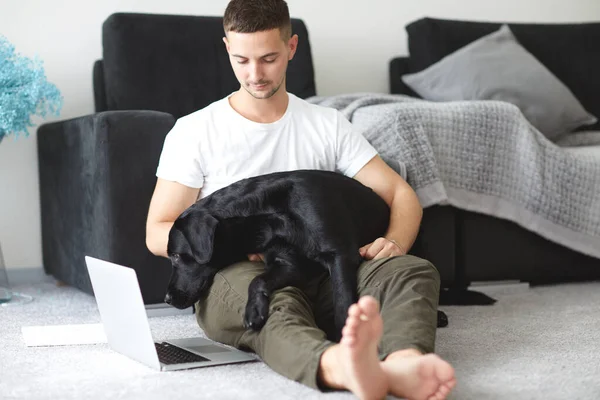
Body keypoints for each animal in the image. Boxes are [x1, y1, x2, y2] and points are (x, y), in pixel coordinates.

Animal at [164, 169, 390, 340]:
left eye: (175, 256)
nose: (166, 298)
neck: (271, 215)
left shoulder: (340, 256)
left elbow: (343, 304)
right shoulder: (288, 264)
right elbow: (257, 280)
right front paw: (254, 309)